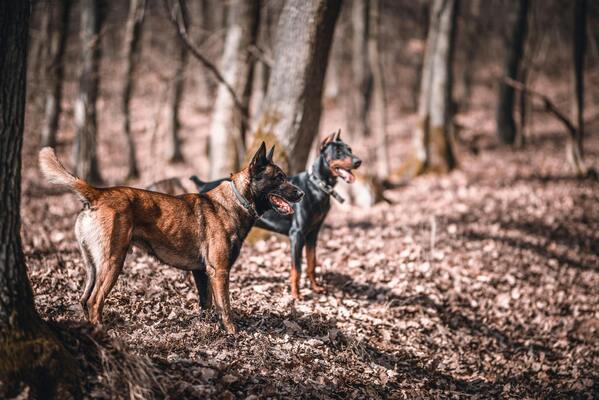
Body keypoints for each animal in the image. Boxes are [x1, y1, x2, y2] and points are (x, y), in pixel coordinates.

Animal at [40, 142, 304, 332]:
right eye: (279, 178)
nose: (301, 193)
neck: (237, 200)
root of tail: (97, 193)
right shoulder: (219, 271)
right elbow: (226, 307)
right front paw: (233, 333)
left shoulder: (201, 272)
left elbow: (206, 304)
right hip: (113, 262)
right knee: (95, 301)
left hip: (92, 265)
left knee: (84, 299)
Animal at [196, 130, 360, 298]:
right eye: (338, 152)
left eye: (350, 149)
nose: (358, 162)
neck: (317, 186)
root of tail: (204, 185)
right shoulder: (297, 234)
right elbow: (297, 269)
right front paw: (296, 295)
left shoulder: (313, 233)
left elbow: (312, 263)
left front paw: (315, 288)